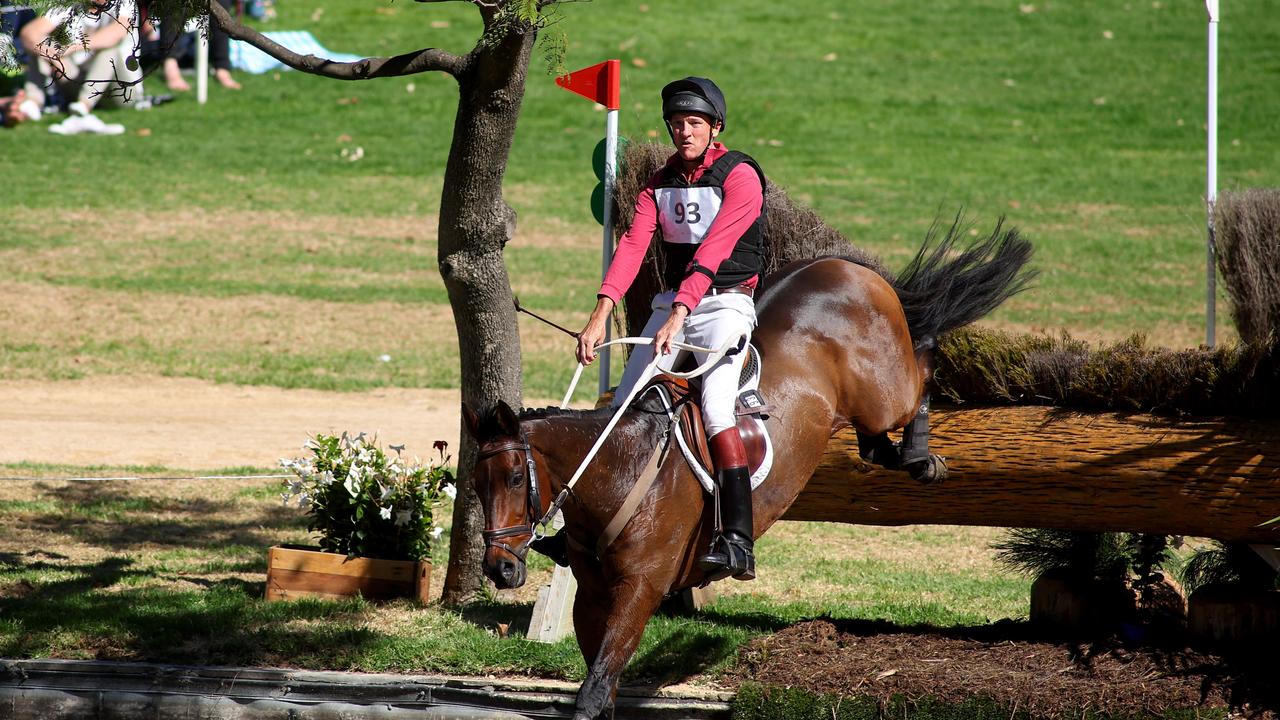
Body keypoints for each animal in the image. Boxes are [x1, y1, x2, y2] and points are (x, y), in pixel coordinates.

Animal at [465, 221, 1034, 712]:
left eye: (514, 478)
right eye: (475, 484)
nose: (499, 569)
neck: (621, 472)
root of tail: (842, 264)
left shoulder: (639, 590)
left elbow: (594, 689)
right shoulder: (593, 595)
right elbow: (601, 687)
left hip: (883, 392)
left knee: (923, 362)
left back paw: (923, 444)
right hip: (858, 412)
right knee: (876, 447)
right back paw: (916, 458)